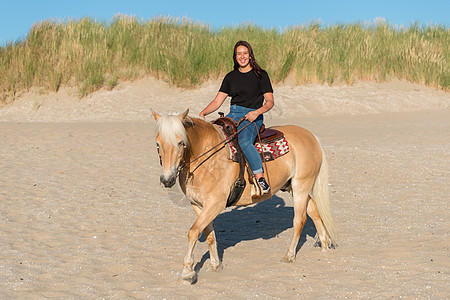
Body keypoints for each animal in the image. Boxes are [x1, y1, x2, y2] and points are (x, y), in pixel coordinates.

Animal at [151, 109, 338, 282]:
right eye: (158, 144)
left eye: (180, 142)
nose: (167, 180)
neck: (206, 157)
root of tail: (311, 136)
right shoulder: (198, 205)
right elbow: (208, 233)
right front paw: (215, 265)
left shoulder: (215, 203)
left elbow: (193, 232)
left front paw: (188, 272)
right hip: (294, 186)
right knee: (314, 212)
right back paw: (325, 245)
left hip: (301, 186)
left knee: (299, 220)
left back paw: (289, 255)